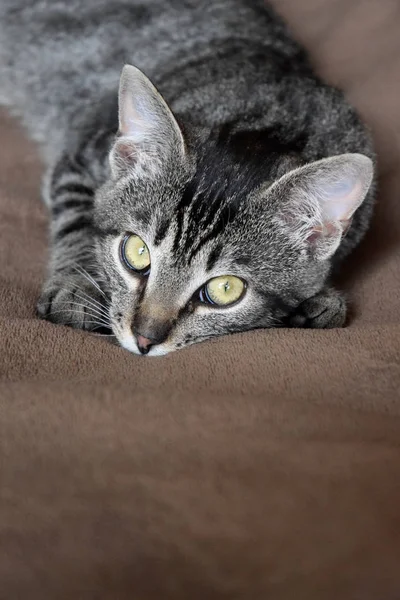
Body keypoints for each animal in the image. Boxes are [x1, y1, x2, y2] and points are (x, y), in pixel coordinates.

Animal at [0, 0, 376, 354]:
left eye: (225, 289)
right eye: (137, 252)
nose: (144, 338)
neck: (268, 125)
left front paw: (323, 301)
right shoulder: (79, 158)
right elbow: (77, 220)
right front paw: (77, 287)